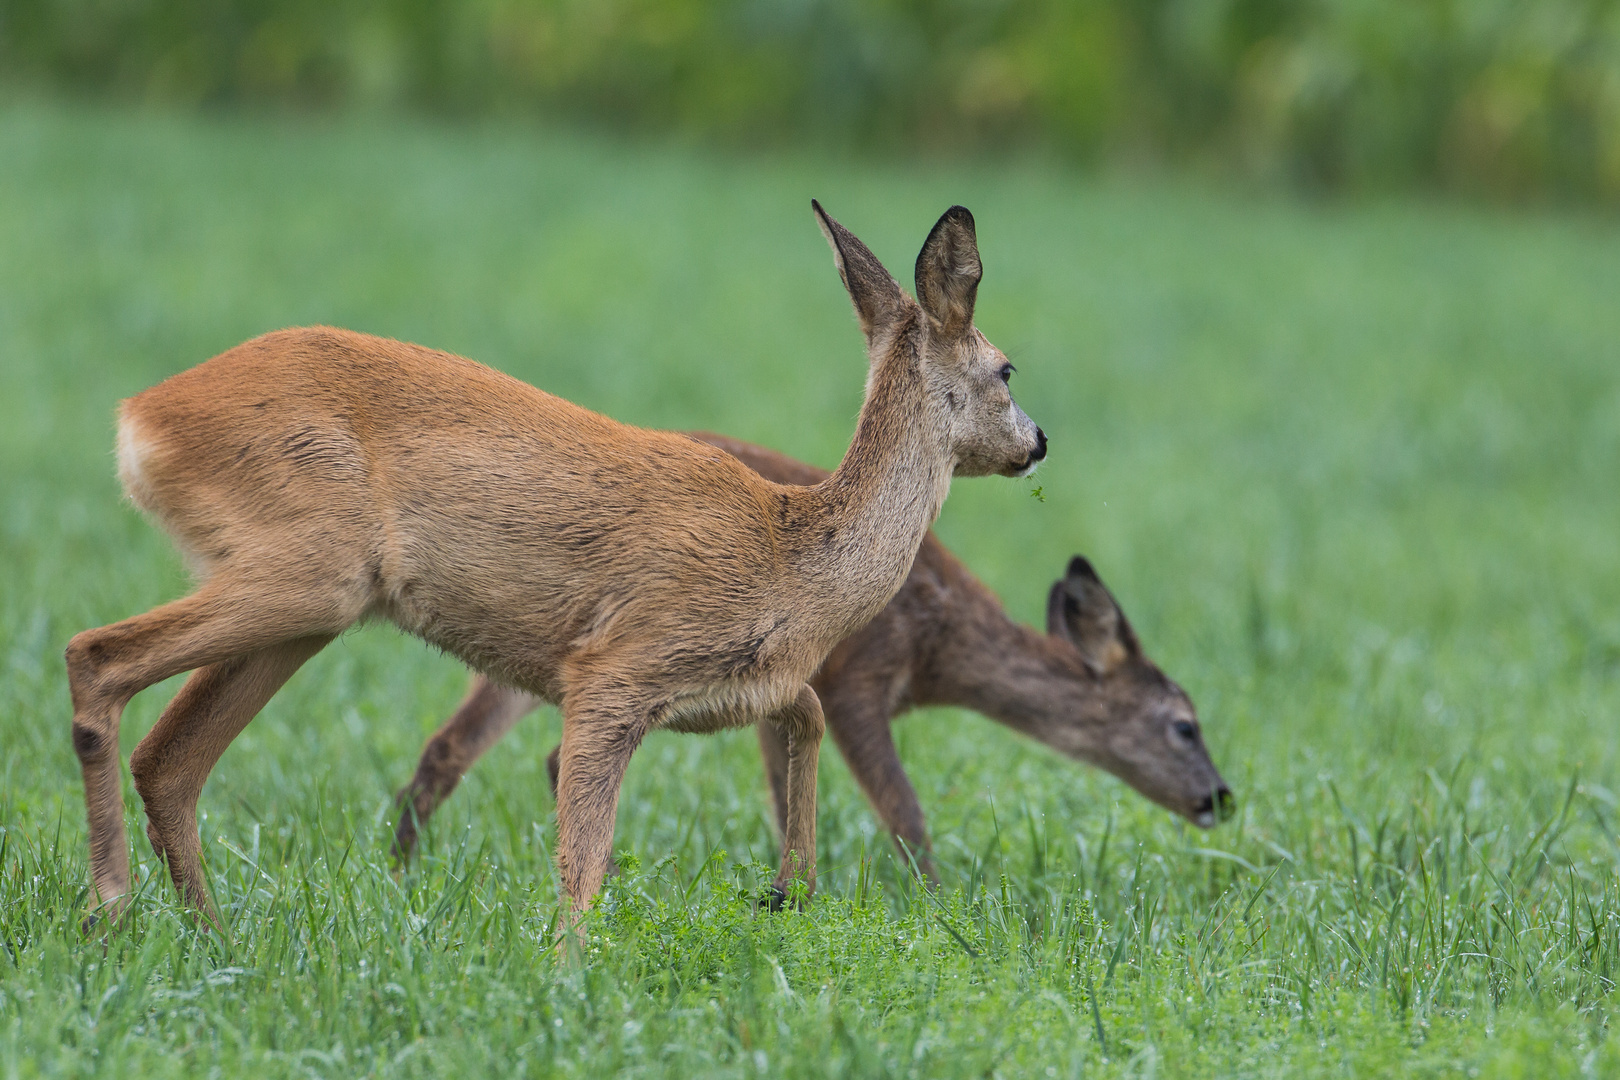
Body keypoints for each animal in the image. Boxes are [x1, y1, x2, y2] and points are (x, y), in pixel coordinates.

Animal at [66, 198, 1036, 926]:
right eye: (1007, 369)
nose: (1040, 443)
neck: (793, 558)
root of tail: (137, 419)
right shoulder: (614, 667)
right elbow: (584, 865)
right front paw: (572, 976)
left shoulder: (737, 685)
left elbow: (805, 718)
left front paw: (786, 888)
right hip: (308, 566)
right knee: (95, 655)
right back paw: (112, 909)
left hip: (306, 605)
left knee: (169, 759)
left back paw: (208, 934)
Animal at [398, 430, 1231, 880]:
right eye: (1184, 723)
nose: (1221, 797)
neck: (944, 647)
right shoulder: (858, 677)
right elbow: (905, 812)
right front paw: (937, 905)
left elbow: (786, 797)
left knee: (454, 744)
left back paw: (405, 864)